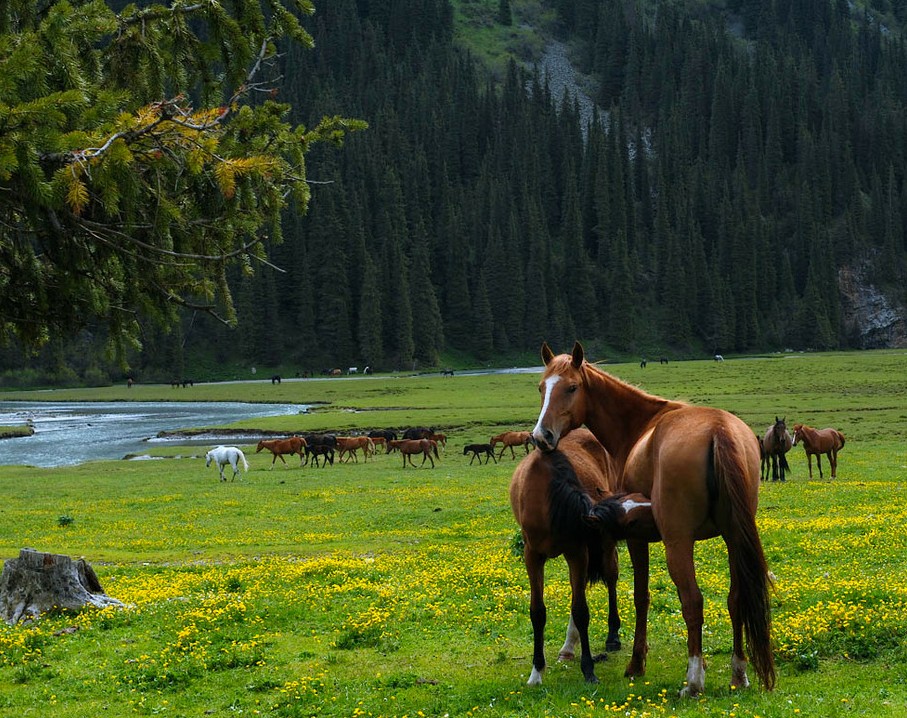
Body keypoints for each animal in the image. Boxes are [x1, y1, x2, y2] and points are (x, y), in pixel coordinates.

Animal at [532, 342, 772, 696]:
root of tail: (719, 429)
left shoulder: (635, 537)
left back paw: (693, 681)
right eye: (541, 388)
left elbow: (640, 597)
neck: (640, 425)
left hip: (678, 544)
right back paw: (738, 672)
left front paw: (636, 662)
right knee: (736, 598)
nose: (541, 436)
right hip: (734, 538)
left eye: (572, 388)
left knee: (693, 602)